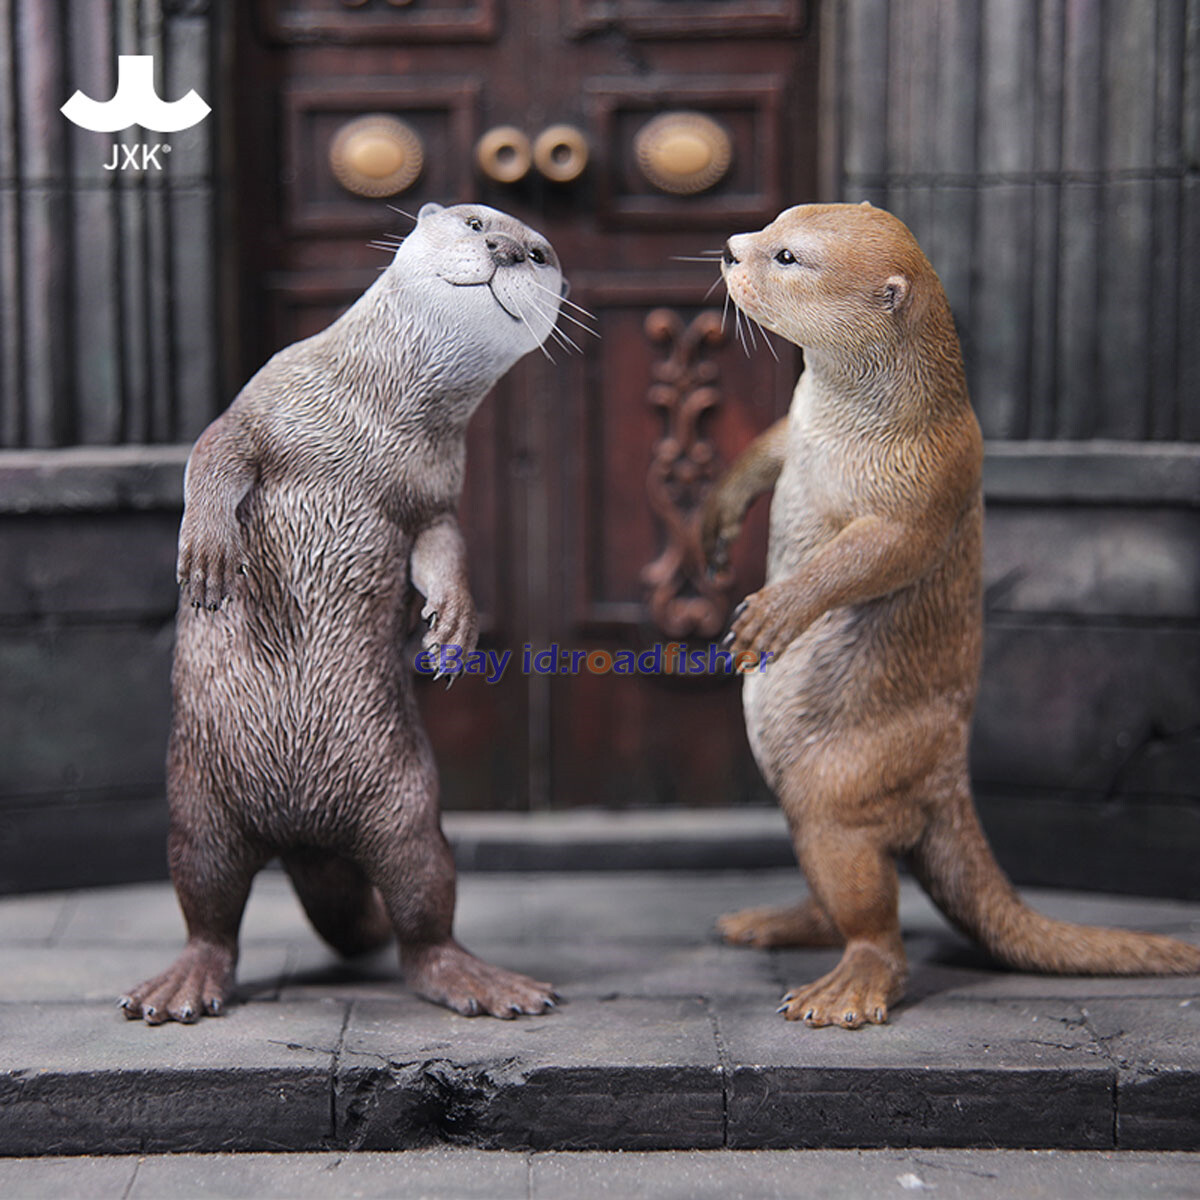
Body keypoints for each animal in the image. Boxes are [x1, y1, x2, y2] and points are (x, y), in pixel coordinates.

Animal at [121, 202, 564, 1024]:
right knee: (207, 907)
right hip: (199, 803)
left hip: (407, 806)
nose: (507, 248)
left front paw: (454, 627)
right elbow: (214, 450)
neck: (373, 426)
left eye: (541, 253)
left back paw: (480, 981)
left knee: (425, 909)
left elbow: (445, 546)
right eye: (475, 221)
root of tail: (303, 834)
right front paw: (207, 552)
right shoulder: (265, 399)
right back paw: (182, 986)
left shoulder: (435, 490)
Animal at [702, 202, 1200, 1029]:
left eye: (787, 256)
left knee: (875, 914)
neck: (852, 430)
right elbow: (762, 453)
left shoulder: (926, 483)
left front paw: (770, 617)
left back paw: (846, 993)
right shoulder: (795, 427)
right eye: (773, 223)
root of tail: (946, 785)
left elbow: (868, 558)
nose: (730, 250)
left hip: (843, 788)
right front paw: (714, 517)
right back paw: (768, 923)